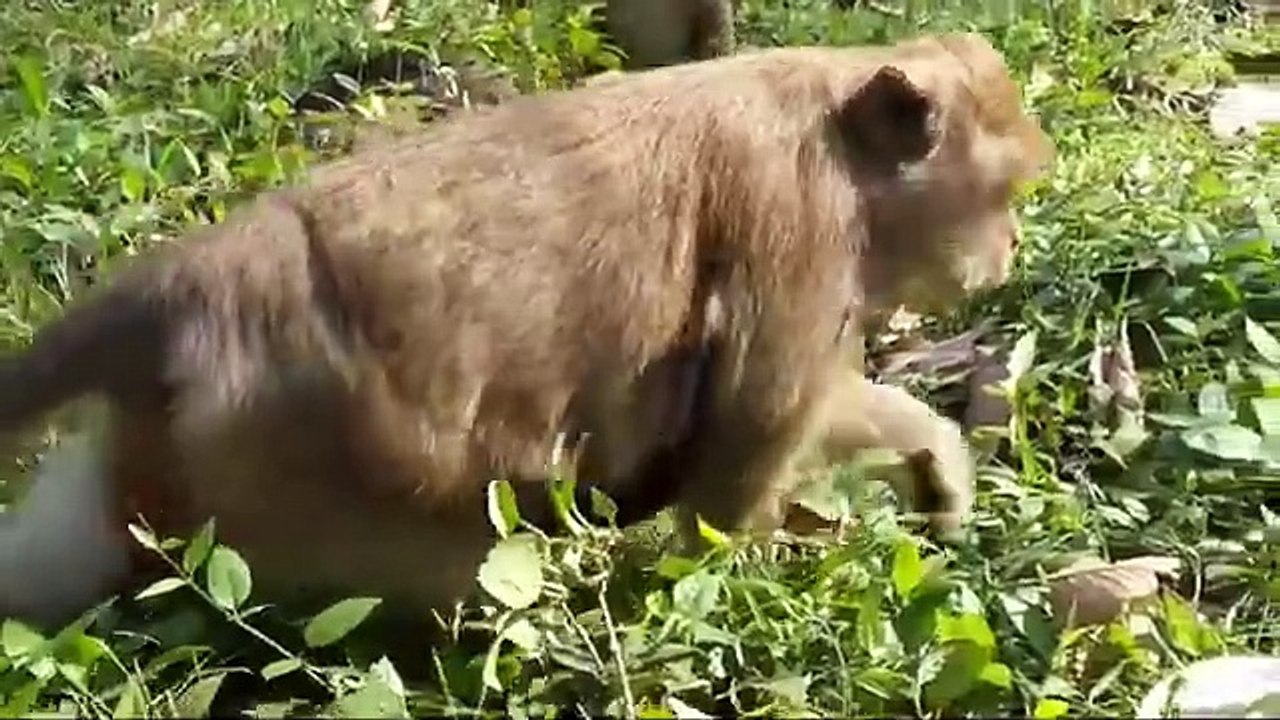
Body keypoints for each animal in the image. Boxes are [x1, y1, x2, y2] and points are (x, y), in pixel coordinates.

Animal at [0, 32, 1051, 630]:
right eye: (1002, 190)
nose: (1007, 246)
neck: (838, 131)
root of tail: (191, 282)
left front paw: (933, 457)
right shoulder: (799, 224)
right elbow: (748, 436)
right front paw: (746, 573)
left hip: (180, 454)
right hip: (294, 464)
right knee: (469, 575)